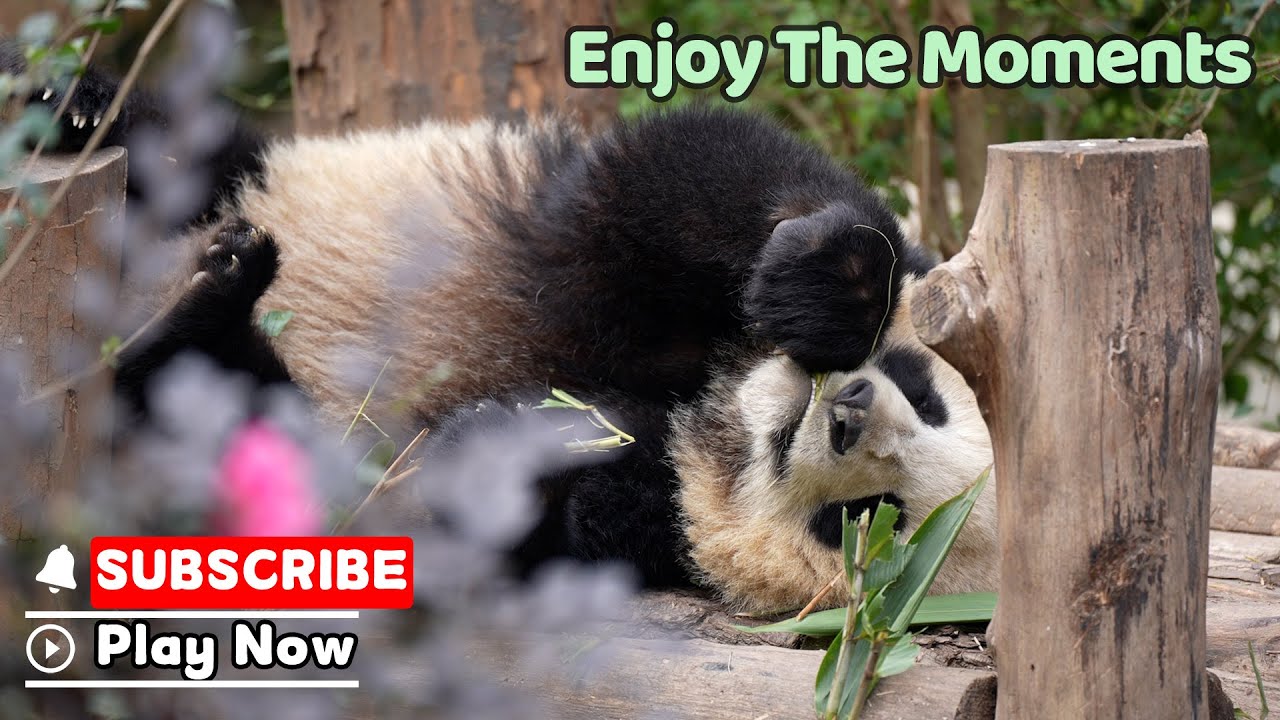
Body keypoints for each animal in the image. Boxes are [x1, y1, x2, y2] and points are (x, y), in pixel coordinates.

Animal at [11, 51, 996, 612]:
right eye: (923, 390)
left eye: (864, 517)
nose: (848, 409)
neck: (710, 403)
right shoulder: (605, 248)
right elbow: (681, 176)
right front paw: (827, 289)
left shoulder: (635, 528)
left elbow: (500, 499)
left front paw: (528, 435)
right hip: (236, 173)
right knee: (187, 149)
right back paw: (72, 106)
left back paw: (212, 299)